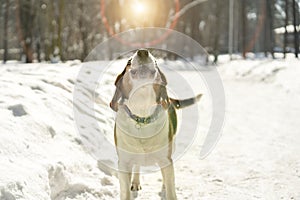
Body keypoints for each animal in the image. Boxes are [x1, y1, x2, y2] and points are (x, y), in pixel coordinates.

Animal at [110, 48, 202, 200]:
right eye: (129, 61)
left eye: (156, 61)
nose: (142, 52)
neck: (142, 116)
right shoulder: (123, 163)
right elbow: (125, 191)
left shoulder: (166, 160)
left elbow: (170, 187)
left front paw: (167, 190)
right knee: (137, 166)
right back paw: (135, 182)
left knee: (166, 176)